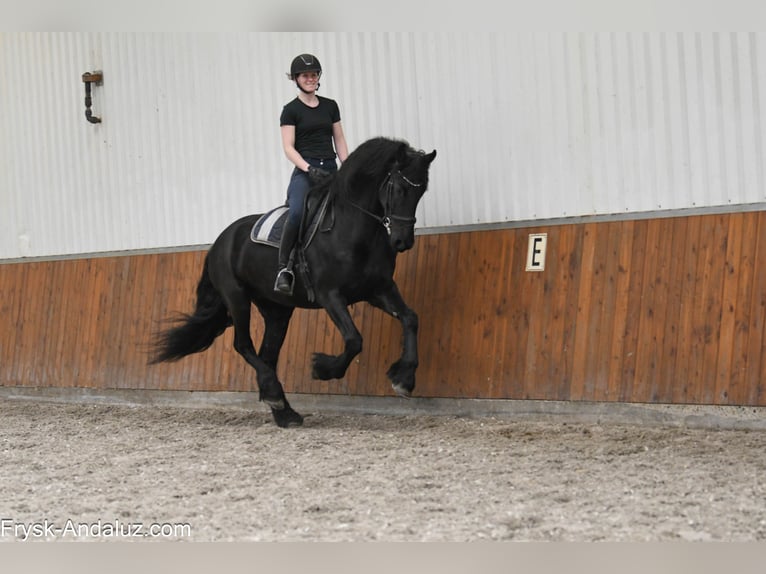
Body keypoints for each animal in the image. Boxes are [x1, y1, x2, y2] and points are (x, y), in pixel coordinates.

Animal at [149, 137, 437, 427]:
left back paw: (284, 411)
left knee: (267, 355)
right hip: (237, 298)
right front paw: (323, 369)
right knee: (243, 345)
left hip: (277, 310)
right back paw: (275, 396)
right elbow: (354, 339)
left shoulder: (379, 289)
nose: (402, 242)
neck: (353, 230)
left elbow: (411, 318)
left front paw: (404, 379)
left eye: (421, 191)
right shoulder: (330, 295)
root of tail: (221, 240)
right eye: (399, 188)